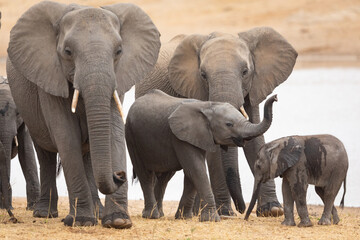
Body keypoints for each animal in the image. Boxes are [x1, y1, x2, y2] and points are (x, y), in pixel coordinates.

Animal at [125, 89, 278, 221]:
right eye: (229, 124)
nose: (275, 97)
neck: (206, 106)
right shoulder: (179, 137)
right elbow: (196, 169)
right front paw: (211, 219)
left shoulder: (199, 136)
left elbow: (191, 173)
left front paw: (184, 218)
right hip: (131, 136)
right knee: (145, 174)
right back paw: (152, 215)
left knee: (164, 178)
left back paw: (160, 214)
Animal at [136, 29, 296, 217]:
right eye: (203, 75)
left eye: (245, 72)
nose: (241, 209)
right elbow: (214, 150)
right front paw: (225, 213)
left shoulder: (254, 87)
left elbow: (256, 141)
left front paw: (272, 210)